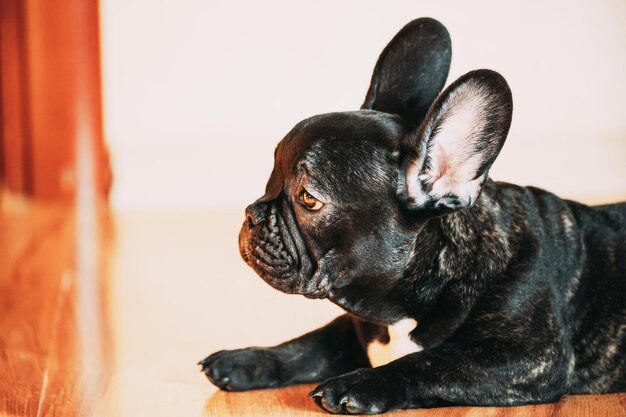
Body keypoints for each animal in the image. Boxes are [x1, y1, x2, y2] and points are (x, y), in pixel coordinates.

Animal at [197, 17, 620, 412]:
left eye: (308, 198)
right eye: (270, 177)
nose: (251, 214)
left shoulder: (528, 358)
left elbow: (433, 363)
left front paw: (357, 384)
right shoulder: (351, 328)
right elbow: (308, 345)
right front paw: (245, 360)